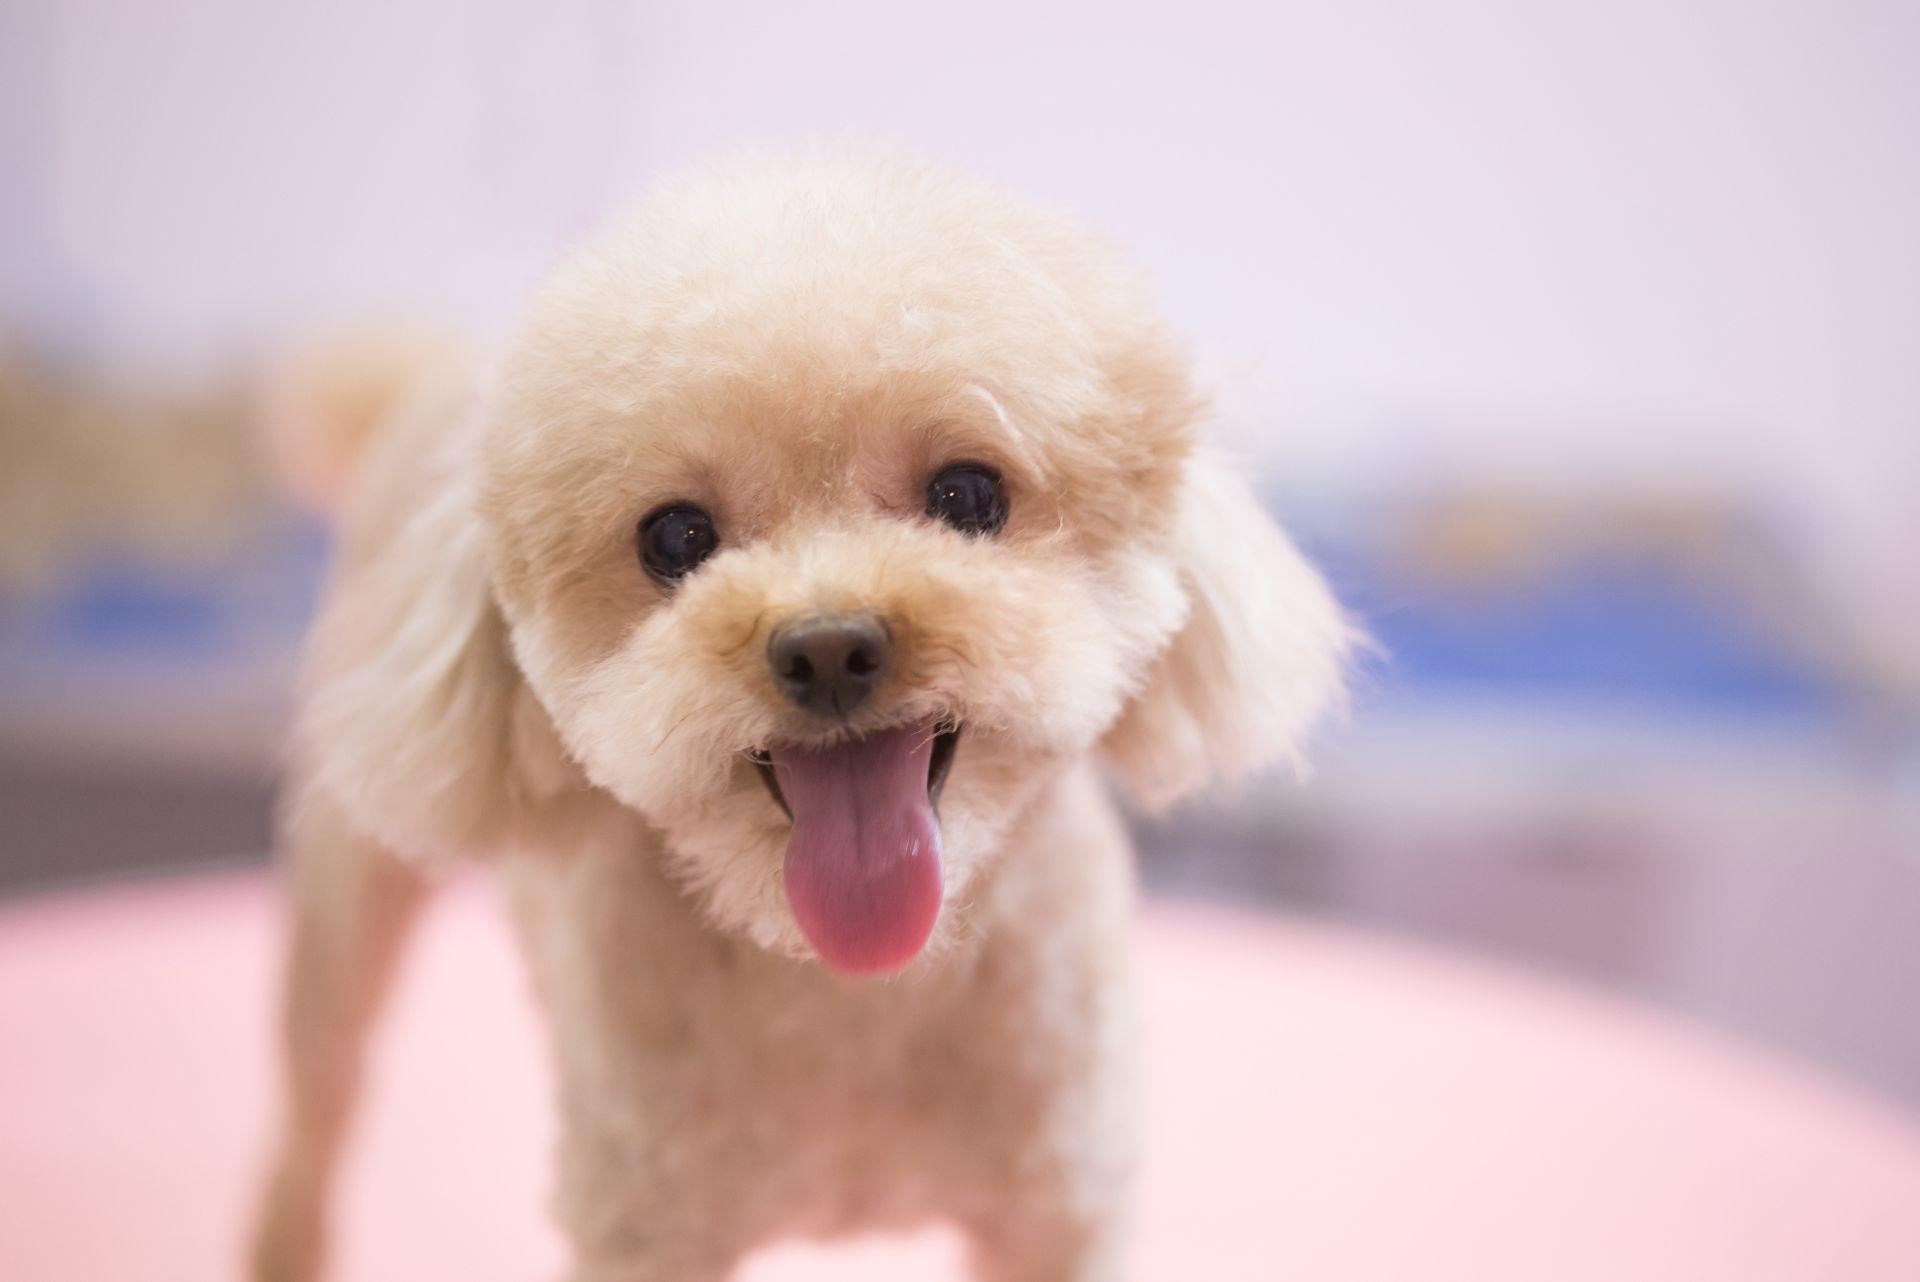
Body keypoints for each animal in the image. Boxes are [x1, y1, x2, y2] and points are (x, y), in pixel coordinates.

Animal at [255, 147, 1351, 1282]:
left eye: (968, 495)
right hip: (340, 907)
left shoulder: (1058, 1207)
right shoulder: (645, 1228)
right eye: (675, 537)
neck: (851, 987)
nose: (829, 648)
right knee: (313, 1113)